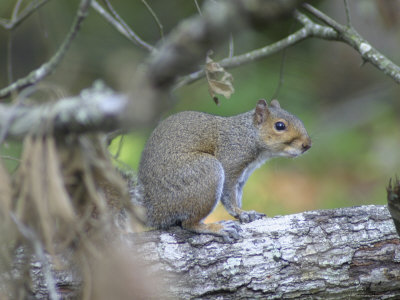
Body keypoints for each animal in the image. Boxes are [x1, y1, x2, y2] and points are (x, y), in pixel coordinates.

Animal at [139, 99, 310, 240]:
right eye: (280, 126)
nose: (307, 145)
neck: (247, 134)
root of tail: (152, 211)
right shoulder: (231, 160)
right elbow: (228, 194)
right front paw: (240, 212)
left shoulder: (243, 176)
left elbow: (237, 194)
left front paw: (246, 213)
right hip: (206, 172)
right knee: (189, 224)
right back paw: (217, 228)